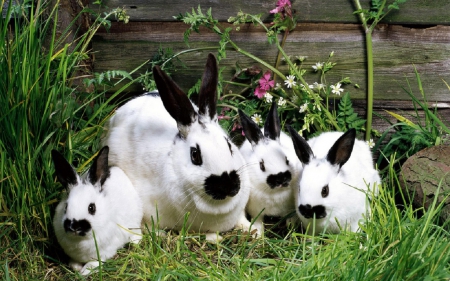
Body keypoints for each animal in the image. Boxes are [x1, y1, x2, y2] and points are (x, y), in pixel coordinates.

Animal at [51, 145, 143, 274]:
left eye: (92, 208)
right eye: (66, 207)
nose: (74, 227)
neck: (80, 240)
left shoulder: (104, 252)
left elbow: (94, 263)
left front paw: (84, 272)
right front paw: (75, 267)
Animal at [239, 101, 302, 234]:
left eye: (287, 159)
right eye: (261, 165)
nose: (281, 178)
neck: (275, 193)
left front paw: (291, 226)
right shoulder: (256, 210)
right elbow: (257, 220)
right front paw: (258, 233)